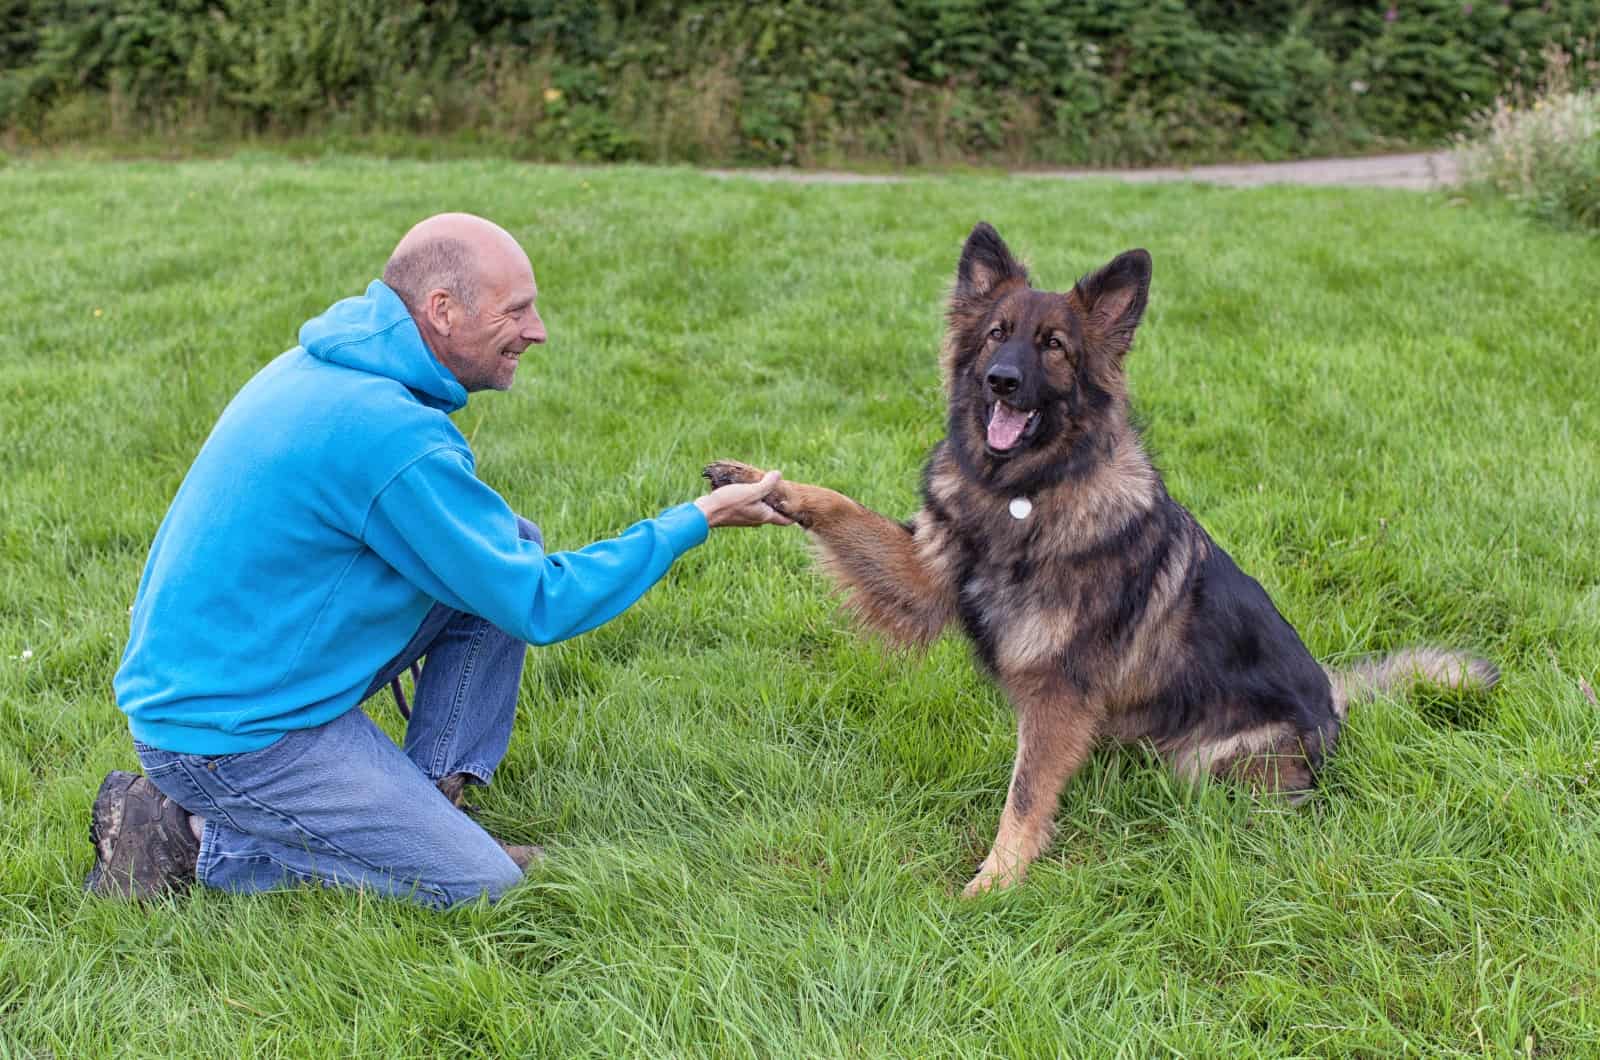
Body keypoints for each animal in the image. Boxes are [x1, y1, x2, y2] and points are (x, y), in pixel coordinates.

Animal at [707, 222, 1491, 896]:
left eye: (1053, 345)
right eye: (996, 335)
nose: (1000, 380)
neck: (1023, 495)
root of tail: (1335, 701)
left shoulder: (1060, 688)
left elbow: (1025, 794)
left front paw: (997, 882)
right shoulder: (927, 577)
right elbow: (842, 508)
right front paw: (760, 487)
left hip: (1212, 760)